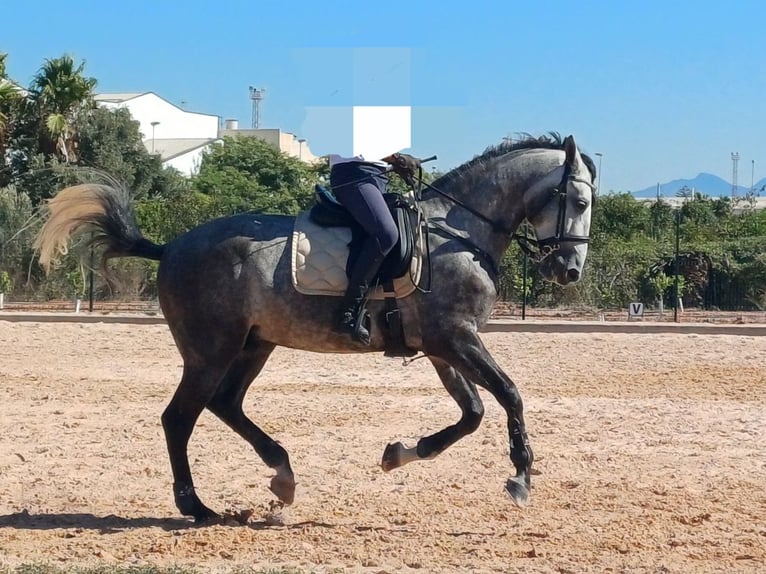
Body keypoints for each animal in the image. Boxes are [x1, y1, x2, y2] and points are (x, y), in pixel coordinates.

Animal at [34, 133, 596, 522]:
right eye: (581, 202)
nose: (569, 271)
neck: (457, 232)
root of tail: (171, 246)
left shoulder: (443, 346)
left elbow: (473, 413)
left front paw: (399, 455)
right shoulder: (456, 337)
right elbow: (509, 394)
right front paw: (521, 476)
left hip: (253, 345)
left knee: (226, 404)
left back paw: (282, 475)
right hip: (210, 351)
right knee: (179, 419)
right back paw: (196, 506)